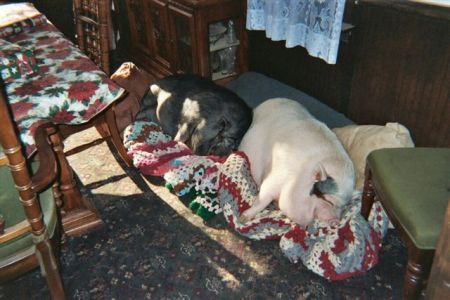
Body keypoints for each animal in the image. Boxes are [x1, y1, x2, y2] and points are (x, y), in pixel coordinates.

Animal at [239, 97, 356, 226]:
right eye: (327, 200)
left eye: (343, 206)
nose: (336, 221)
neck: (298, 177)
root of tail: (262, 105)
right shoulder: (273, 178)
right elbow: (262, 200)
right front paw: (243, 218)